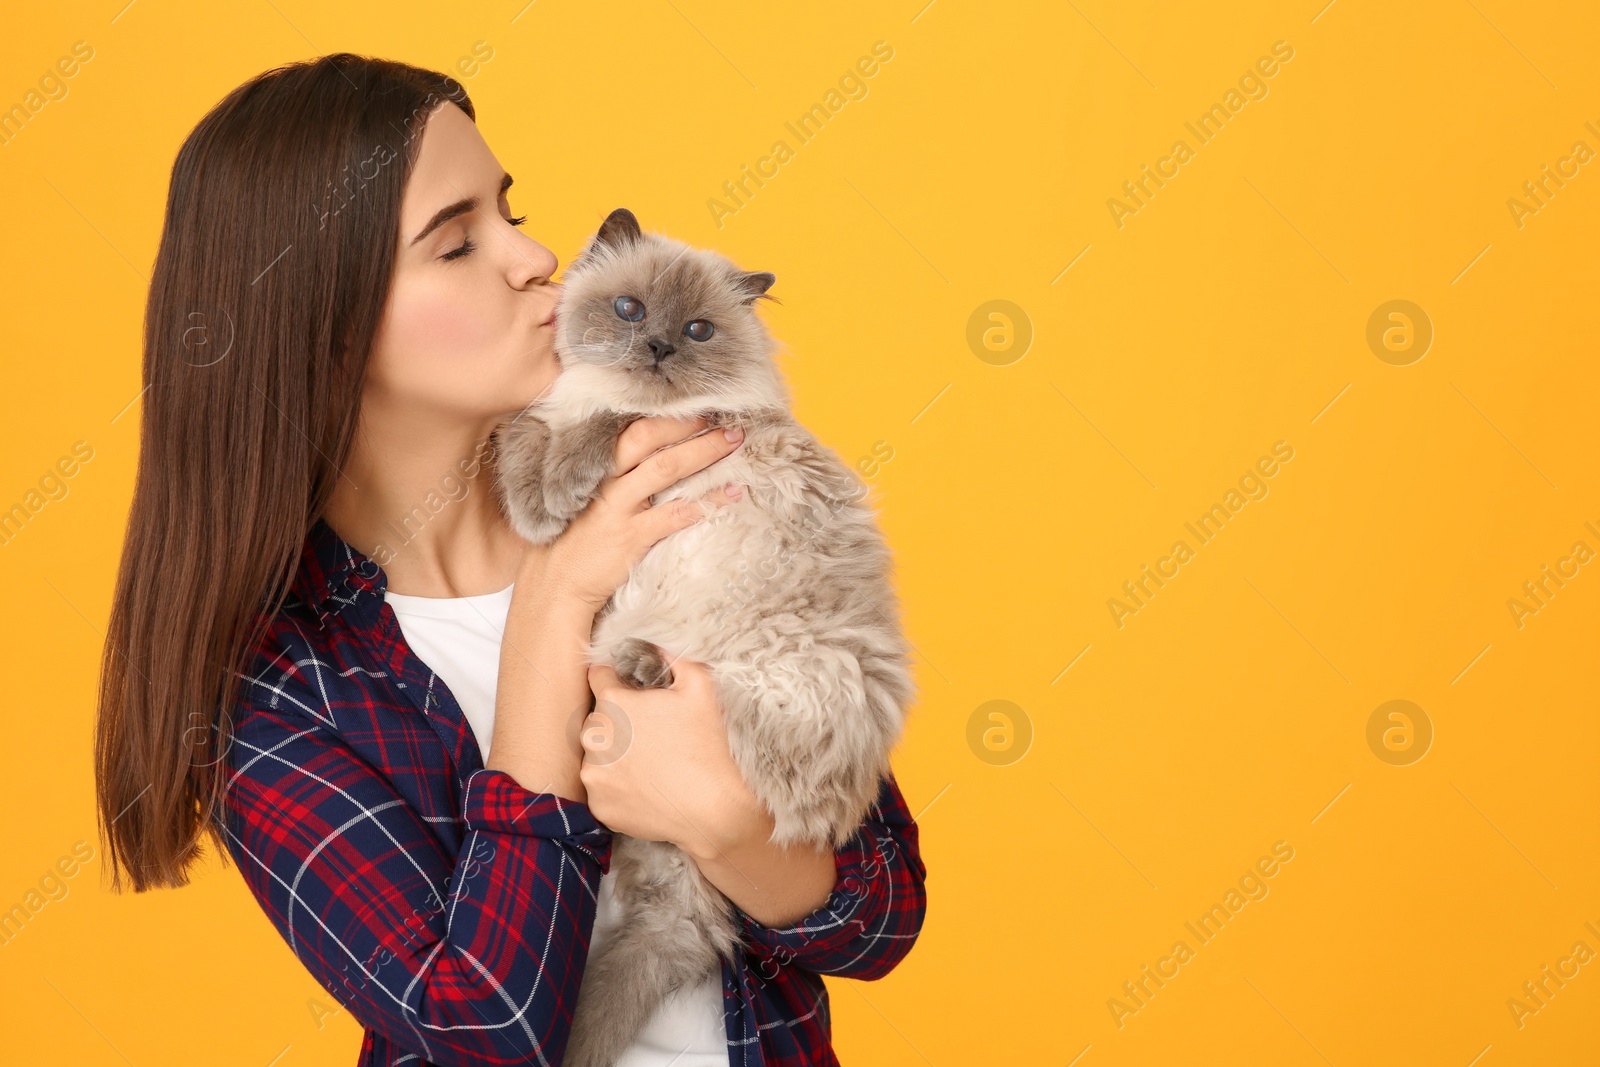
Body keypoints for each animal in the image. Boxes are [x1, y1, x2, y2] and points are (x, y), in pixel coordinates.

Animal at [486, 207, 915, 1067]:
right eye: (629, 311)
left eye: (696, 330)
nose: (656, 347)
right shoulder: (544, 416)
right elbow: (525, 436)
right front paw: (535, 498)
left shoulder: (667, 425)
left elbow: (606, 428)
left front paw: (561, 487)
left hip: (773, 672)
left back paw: (642, 663)